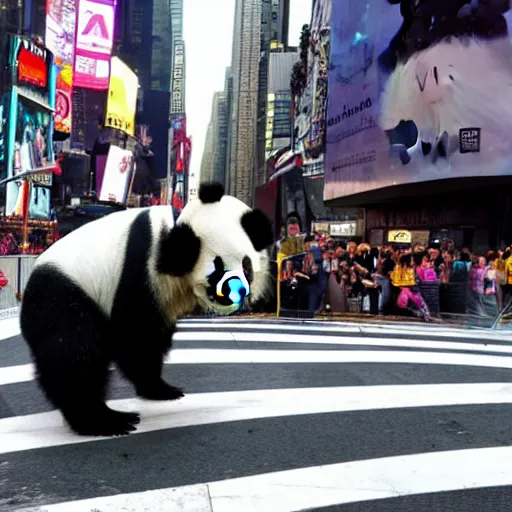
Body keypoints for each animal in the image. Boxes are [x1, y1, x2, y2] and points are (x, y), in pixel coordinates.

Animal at [19, 184, 274, 436]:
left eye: (246, 267)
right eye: (217, 269)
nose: (237, 292)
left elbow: (153, 339)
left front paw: (161, 388)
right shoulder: (141, 266)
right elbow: (135, 334)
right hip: (62, 294)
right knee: (76, 352)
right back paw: (102, 420)